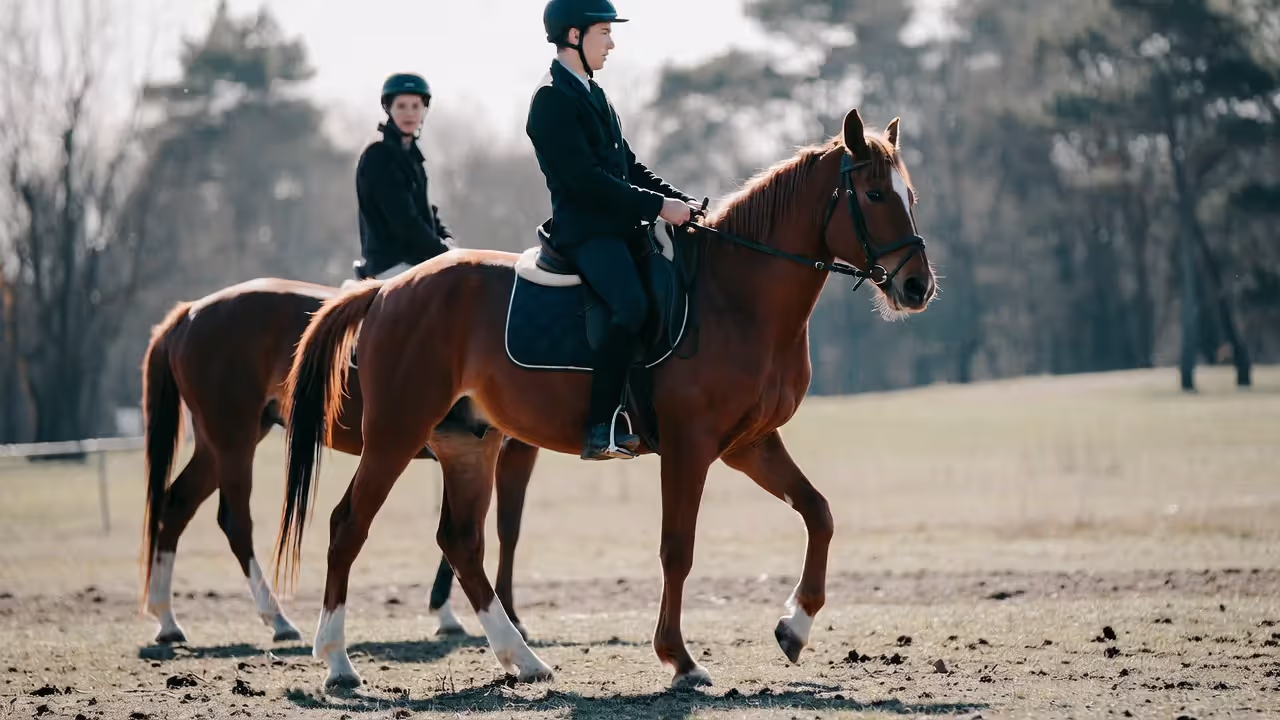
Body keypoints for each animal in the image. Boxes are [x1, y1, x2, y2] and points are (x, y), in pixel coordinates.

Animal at [139, 277, 541, 646]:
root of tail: (190, 312)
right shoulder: (511, 452)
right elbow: (508, 529)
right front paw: (504, 614)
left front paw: (449, 609)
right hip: (233, 439)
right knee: (235, 521)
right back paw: (277, 618)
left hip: (220, 443)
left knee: (176, 505)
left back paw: (168, 620)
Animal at [273, 107, 936, 690]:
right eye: (875, 196)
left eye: (911, 196)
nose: (917, 286)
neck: (736, 295)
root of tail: (385, 292)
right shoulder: (691, 447)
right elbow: (677, 549)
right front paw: (680, 661)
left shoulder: (747, 443)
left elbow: (819, 513)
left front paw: (793, 629)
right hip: (395, 434)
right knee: (348, 524)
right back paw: (338, 663)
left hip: (468, 446)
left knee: (461, 542)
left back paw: (523, 660)